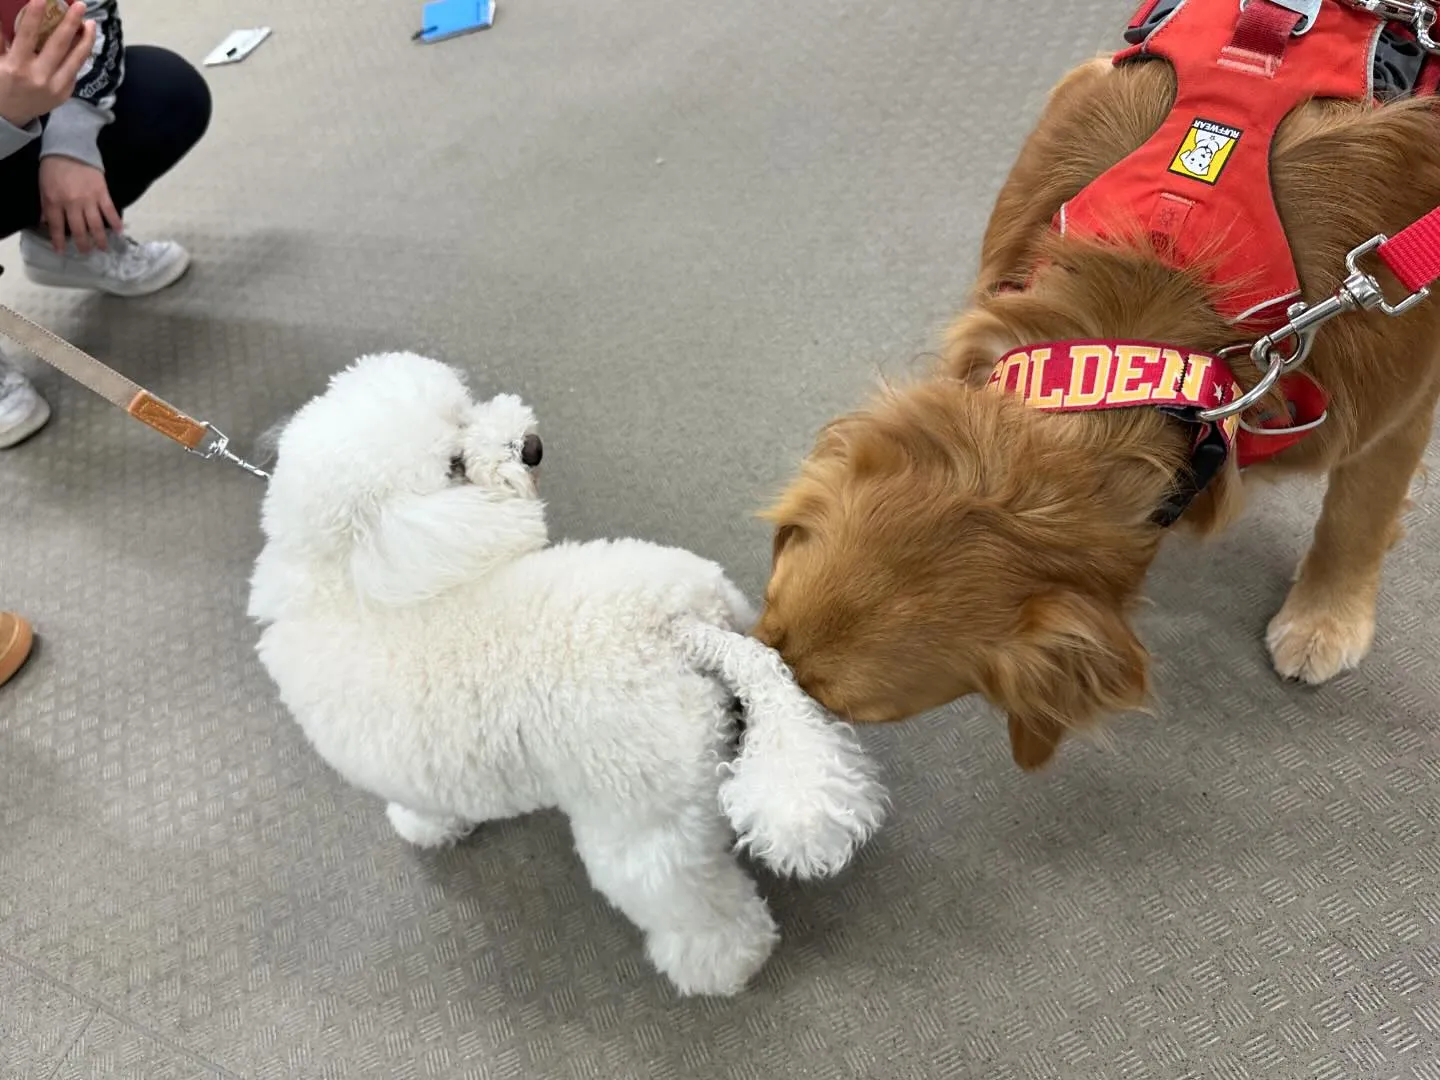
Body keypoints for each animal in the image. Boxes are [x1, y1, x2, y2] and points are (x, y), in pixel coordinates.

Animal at [247, 352, 887, 996]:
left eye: (463, 416)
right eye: (454, 467)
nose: (530, 446)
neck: (342, 582)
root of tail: (676, 626)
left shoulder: (411, 766)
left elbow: (424, 809)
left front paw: (422, 828)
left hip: (640, 823)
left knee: (693, 902)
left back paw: (720, 965)